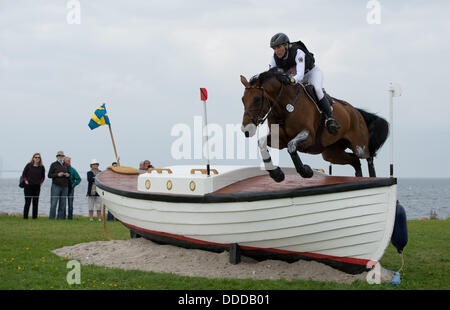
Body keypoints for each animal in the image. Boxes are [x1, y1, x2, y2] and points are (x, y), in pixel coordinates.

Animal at [241, 66, 388, 180]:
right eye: (243, 99)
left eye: (257, 99)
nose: (246, 130)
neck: (285, 108)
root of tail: (356, 111)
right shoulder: (280, 140)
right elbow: (262, 144)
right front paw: (276, 174)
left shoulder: (308, 136)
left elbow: (291, 146)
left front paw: (305, 171)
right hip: (331, 153)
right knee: (355, 161)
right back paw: (359, 177)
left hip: (359, 146)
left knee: (368, 158)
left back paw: (372, 178)